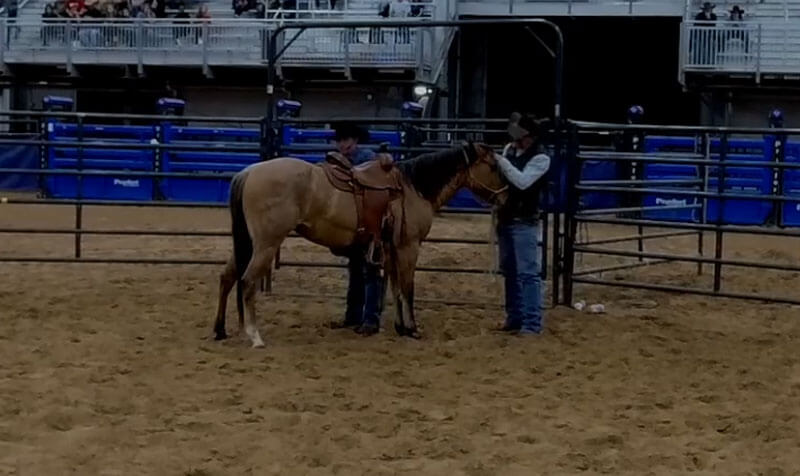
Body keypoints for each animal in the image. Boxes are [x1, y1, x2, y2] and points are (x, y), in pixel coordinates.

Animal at [212, 142, 508, 348]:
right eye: (493, 166)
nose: (506, 197)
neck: (413, 187)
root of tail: (248, 172)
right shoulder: (409, 247)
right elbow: (407, 288)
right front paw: (413, 329)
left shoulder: (390, 248)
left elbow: (394, 287)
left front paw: (401, 327)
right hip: (265, 244)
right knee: (247, 281)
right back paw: (254, 336)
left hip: (248, 243)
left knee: (227, 277)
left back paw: (220, 330)